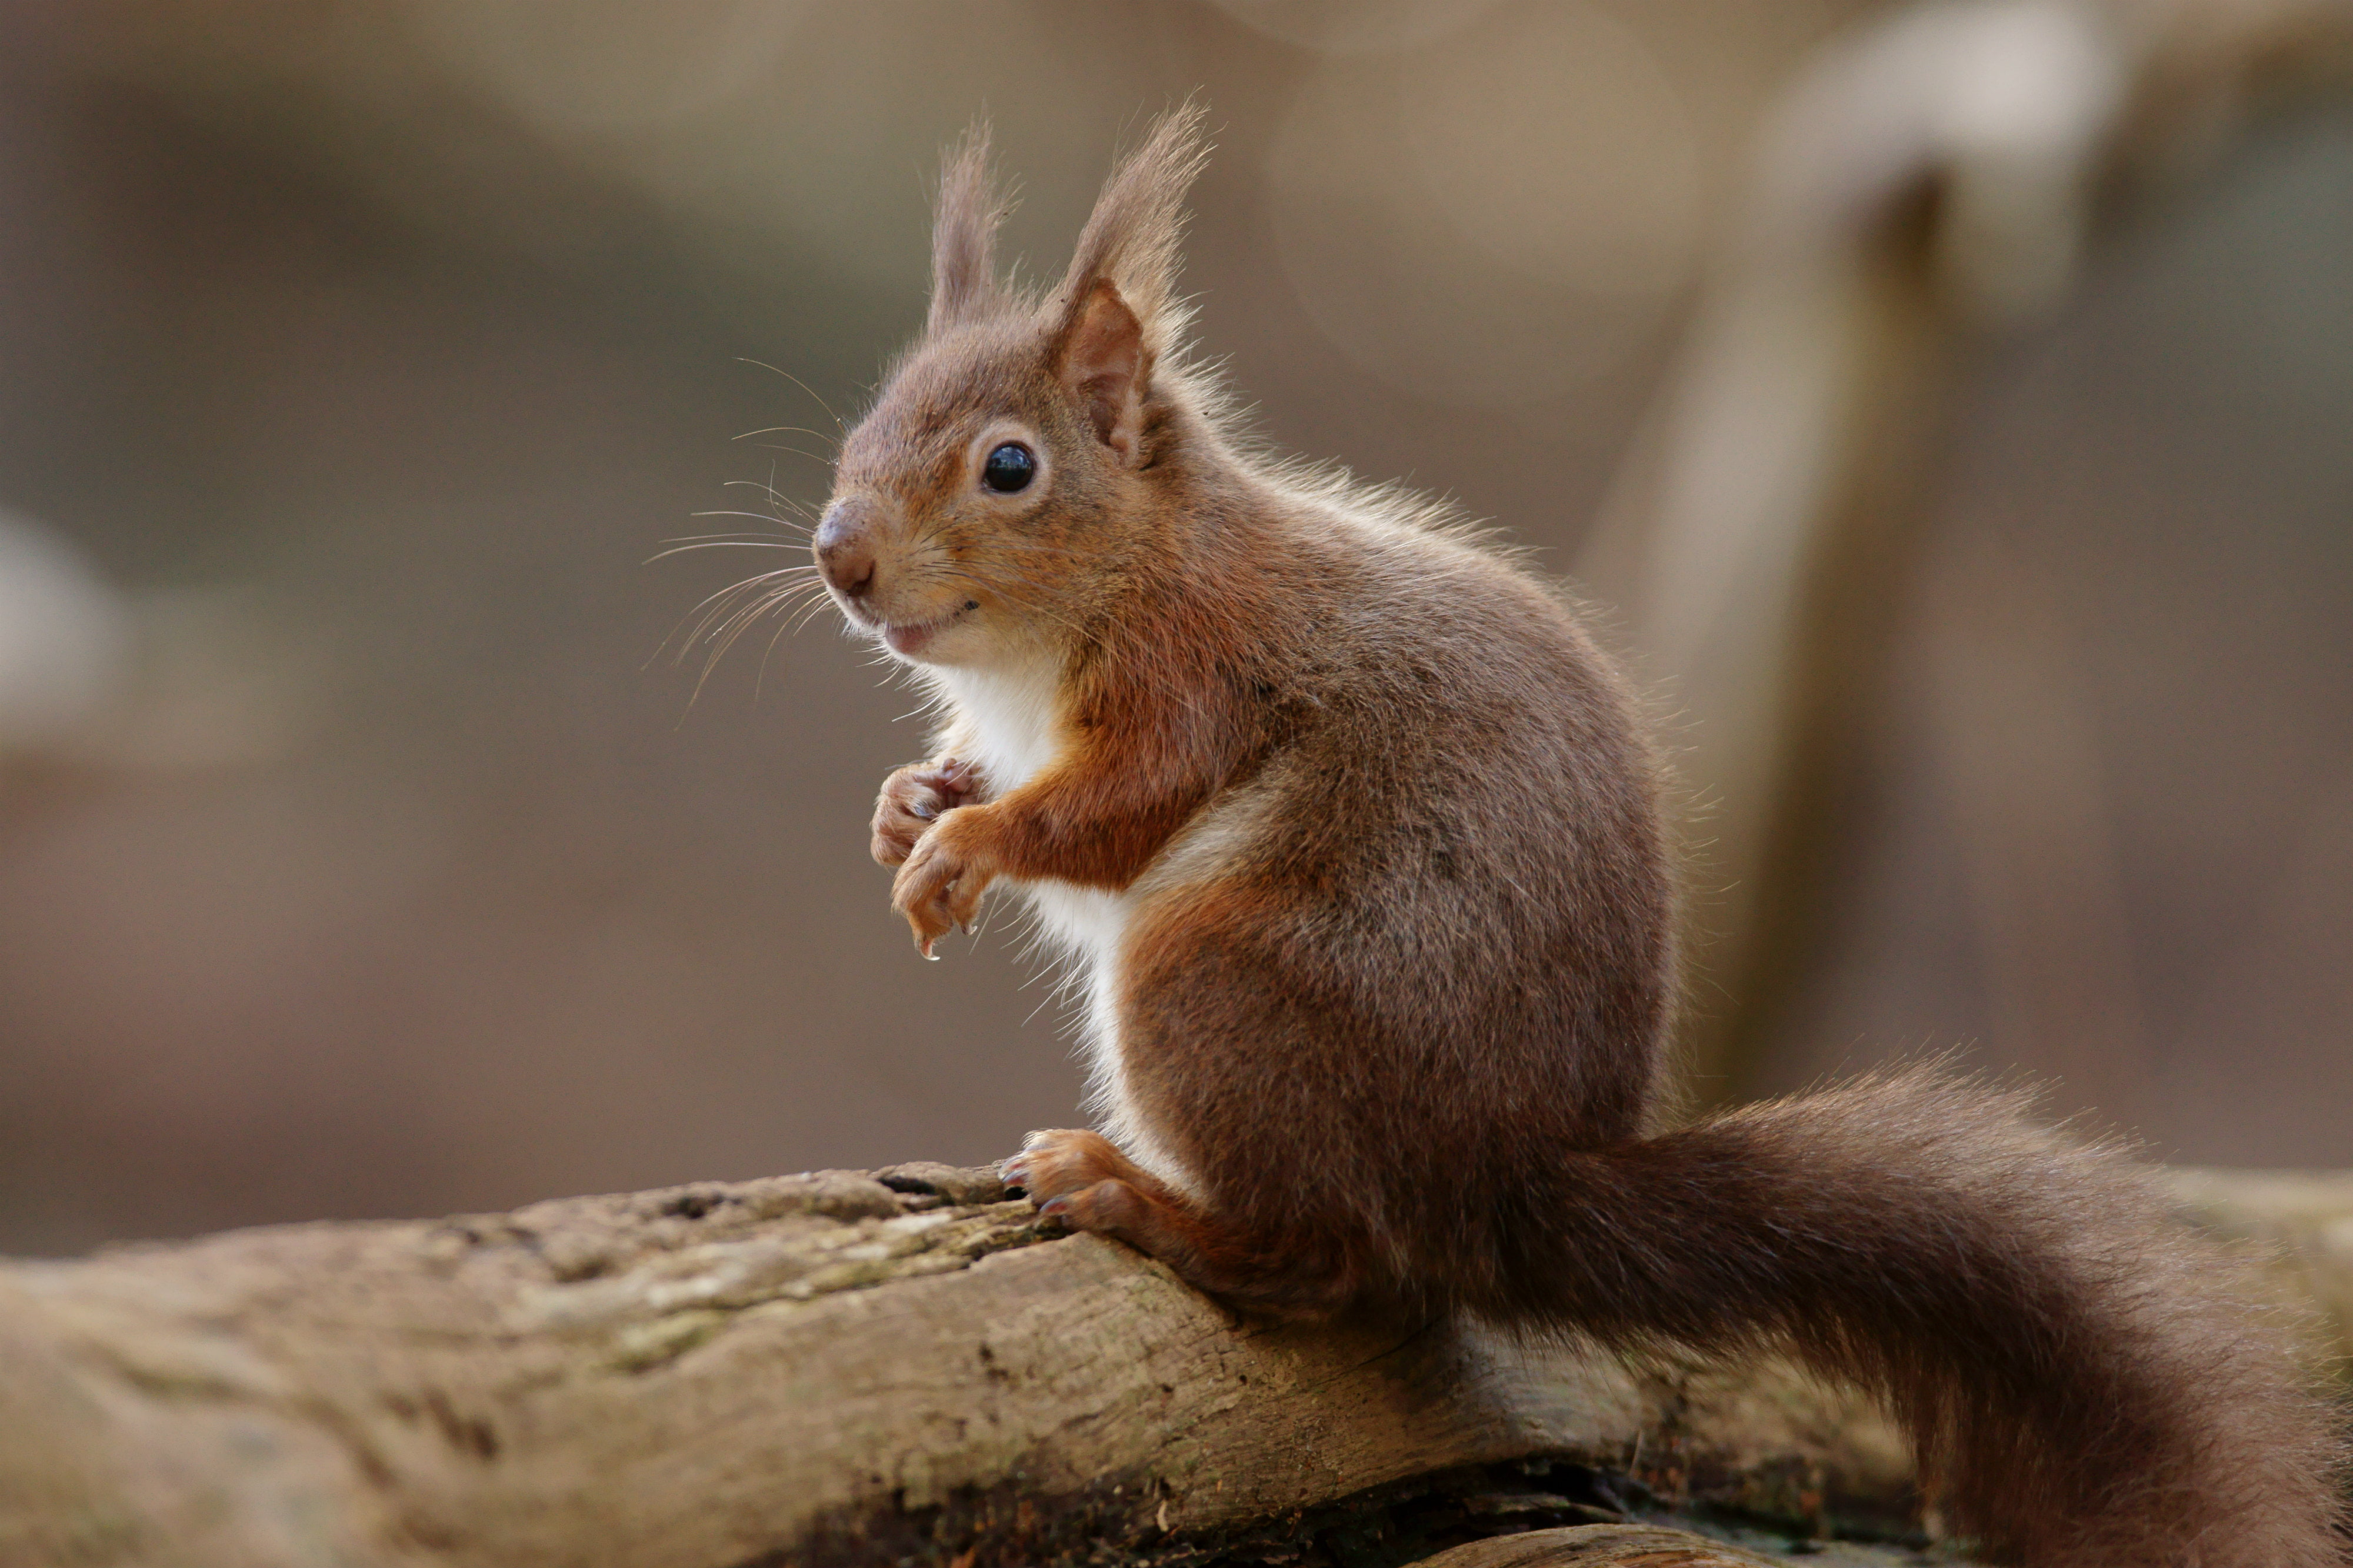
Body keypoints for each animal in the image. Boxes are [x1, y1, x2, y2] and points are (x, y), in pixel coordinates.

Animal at [805, 107, 2344, 1566]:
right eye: (865, 426)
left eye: (1010, 465)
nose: (840, 557)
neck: (1116, 578)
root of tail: (1505, 1188)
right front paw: (908, 804)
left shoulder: (1198, 675)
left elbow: (1111, 811)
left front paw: (970, 843)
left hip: (1220, 975)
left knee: (1332, 1262)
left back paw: (1130, 1191)